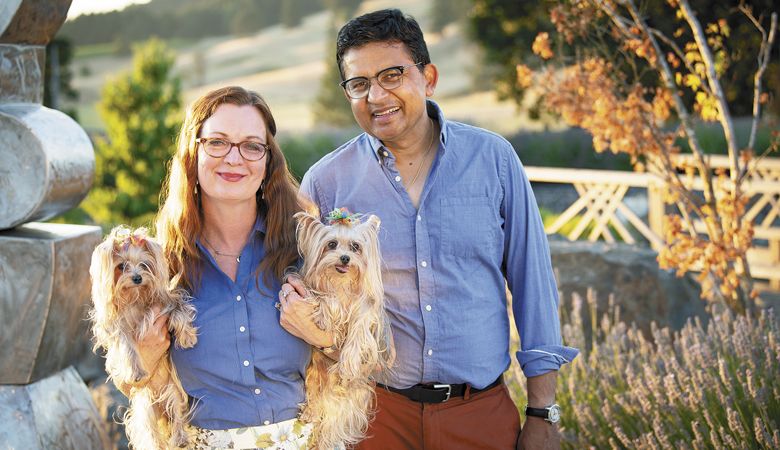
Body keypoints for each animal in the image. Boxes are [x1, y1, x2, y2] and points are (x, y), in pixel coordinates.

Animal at [89, 227, 198, 448]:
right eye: (121, 266)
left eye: (144, 264)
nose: (138, 278)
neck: (135, 297)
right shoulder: (118, 328)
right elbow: (127, 346)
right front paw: (136, 371)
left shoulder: (168, 302)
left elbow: (180, 311)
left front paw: (187, 336)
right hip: (145, 405)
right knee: (150, 431)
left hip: (174, 391)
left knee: (177, 413)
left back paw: (180, 437)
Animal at [296, 209, 396, 448]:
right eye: (331, 244)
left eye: (355, 247)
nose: (344, 258)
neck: (341, 283)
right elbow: (326, 300)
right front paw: (326, 315)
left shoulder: (367, 312)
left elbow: (359, 332)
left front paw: (348, 363)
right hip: (313, 373)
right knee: (314, 393)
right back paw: (310, 411)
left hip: (356, 392)